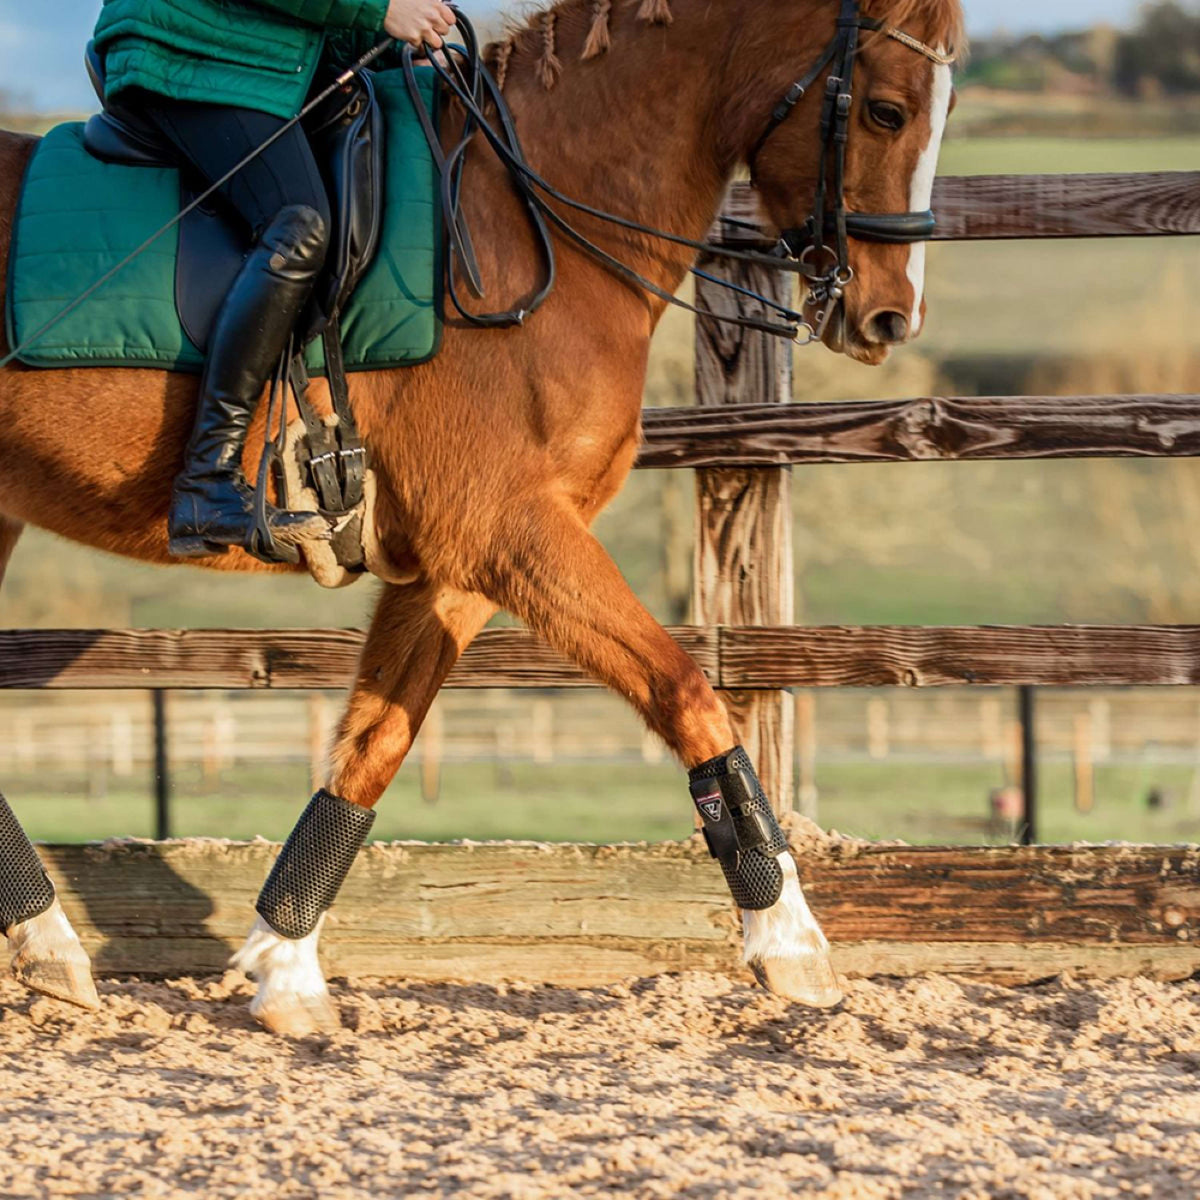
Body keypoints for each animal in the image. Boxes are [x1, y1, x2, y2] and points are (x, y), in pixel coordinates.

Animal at [0, 0, 960, 1036]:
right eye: (887, 111)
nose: (889, 318)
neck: (537, 227)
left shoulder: (457, 569)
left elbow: (374, 746)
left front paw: (289, 972)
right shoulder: (512, 533)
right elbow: (686, 691)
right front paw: (789, 941)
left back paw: (46, 942)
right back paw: (47, 939)